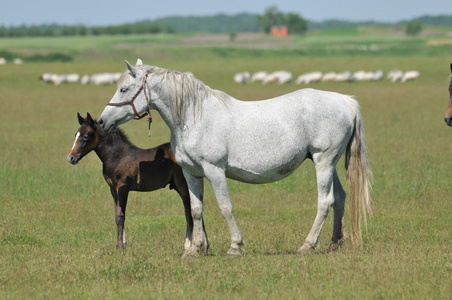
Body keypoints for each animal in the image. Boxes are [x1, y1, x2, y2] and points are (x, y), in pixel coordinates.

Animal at [98, 59, 370, 256]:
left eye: (123, 89)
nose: (101, 121)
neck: (194, 116)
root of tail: (346, 101)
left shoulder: (214, 170)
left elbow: (225, 207)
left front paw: (235, 246)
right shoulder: (191, 173)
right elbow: (195, 210)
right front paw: (196, 249)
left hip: (323, 162)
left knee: (325, 201)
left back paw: (307, 245)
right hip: (326, 163)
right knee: (340, 198)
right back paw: (335, 243)